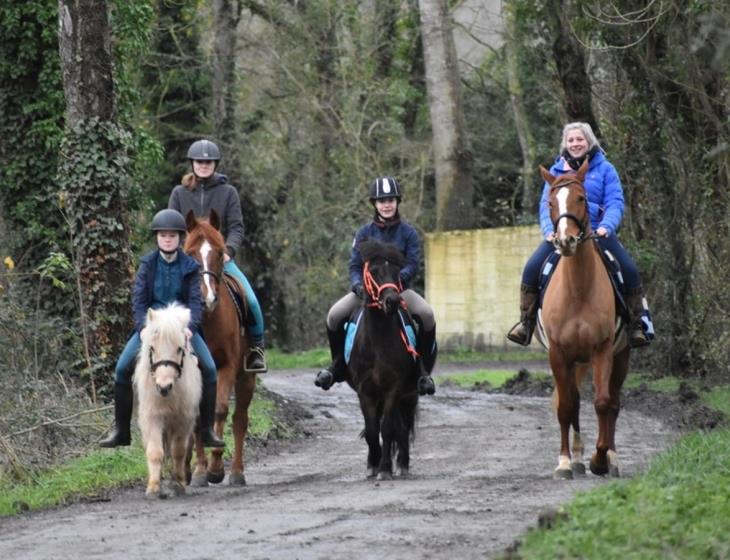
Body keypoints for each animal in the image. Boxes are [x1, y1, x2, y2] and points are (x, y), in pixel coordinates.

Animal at [132, 304, 200, 496]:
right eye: (152, 348)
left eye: (179, 349)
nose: (163, 387)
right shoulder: (152, 417)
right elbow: (155, 451)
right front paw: (153, 487)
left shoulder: (184, 420)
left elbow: (179, 451)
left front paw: (179, 484)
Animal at [182, 210, 256, 486]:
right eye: (190, 253)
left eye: (218, 252)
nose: (207, 299)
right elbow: (196, 419)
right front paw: (199, 471)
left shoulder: (227, 366)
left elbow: (221, 410)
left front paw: (215, 468)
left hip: (246, 376)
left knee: (240, 419)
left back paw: (236, 472)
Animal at [348, 238, 418, 480]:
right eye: (374, 271)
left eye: (397, 271)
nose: (392, 301)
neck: (377, 342)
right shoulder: (365, 390)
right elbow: (372, 430)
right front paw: (374, 465)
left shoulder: (393, 388)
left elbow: (387, 428)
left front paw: (386, 468)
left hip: (409, 394)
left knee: (402, 426)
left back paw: (403, 464)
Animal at [536, 161, 628, 482]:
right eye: (550, 203)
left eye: (581, 198)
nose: (565, 241)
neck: (578, 288)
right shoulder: (558, 353)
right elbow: (566, 406)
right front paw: (565, 462)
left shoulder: (602, 349)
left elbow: (602, 403)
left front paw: (600, 460)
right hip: (574, 360)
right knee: (573, 401)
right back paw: (575, 458)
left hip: (621, 356)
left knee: (613, 403)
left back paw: (611, 458)